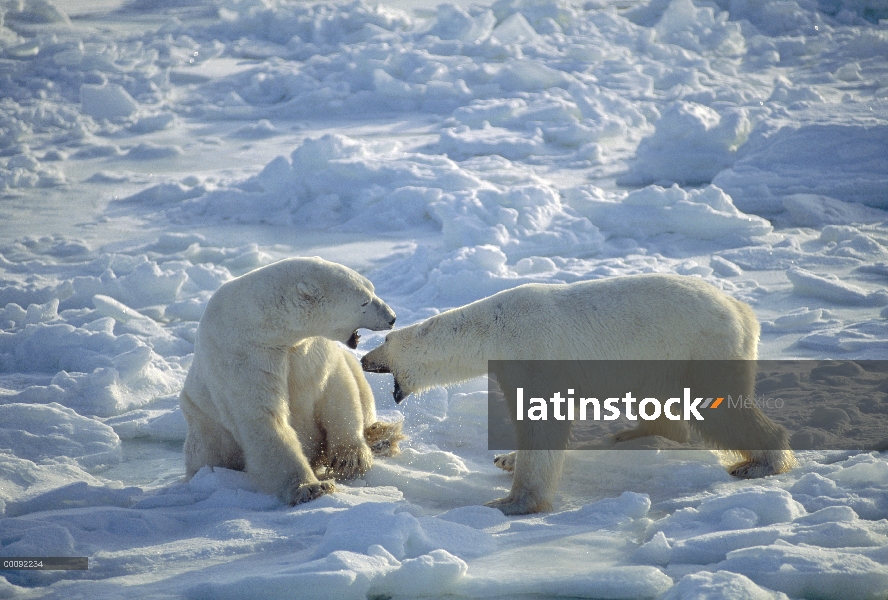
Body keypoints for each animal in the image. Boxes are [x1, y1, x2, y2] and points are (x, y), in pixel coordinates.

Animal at [181, 258, 402, 506]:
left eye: (372, 290)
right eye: (364, 302)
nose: (392, 318)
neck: (263, 327)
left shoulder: (311, 350)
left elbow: (336, 389)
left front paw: (350, 459)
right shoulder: (242, 360)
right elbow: (264, 419)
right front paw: (312, 488)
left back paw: (382, 436)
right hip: (205, 430)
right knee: (208, 453)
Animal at [362, 274, 796, 512]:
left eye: (384, 342)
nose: (364, 358)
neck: (494, 329)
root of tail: (742, 309)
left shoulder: (534, 352)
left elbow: (544, 421)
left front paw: (513, 502)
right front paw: (506, 459)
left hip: (699, 346)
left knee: (721, 407)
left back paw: (760, 463)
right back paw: (632, 435)